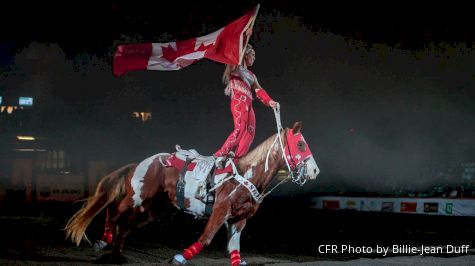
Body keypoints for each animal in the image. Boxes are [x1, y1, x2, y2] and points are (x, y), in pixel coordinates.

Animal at [65, 121, 320, 264]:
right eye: (300, 144)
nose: (315, 170)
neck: (245, 176)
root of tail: (139, 163)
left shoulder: (238, 220)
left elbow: (235, 251)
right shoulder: (220, 210)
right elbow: (206, 238)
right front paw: (179, 257)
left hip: (150, 208)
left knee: (124, 223)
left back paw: (114, 250)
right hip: (137, 198)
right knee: (114, 211)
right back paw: (105, 241)